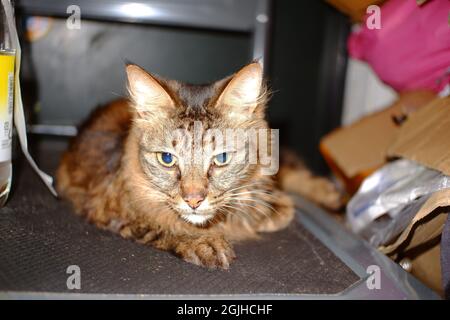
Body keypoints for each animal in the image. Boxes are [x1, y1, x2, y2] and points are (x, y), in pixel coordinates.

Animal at [56, 61, 340, 268]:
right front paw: (204, 242)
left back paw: (330, 194)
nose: (193, 200)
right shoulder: (105, 209)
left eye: (221, 159)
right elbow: (163, 225)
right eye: (167, 159)